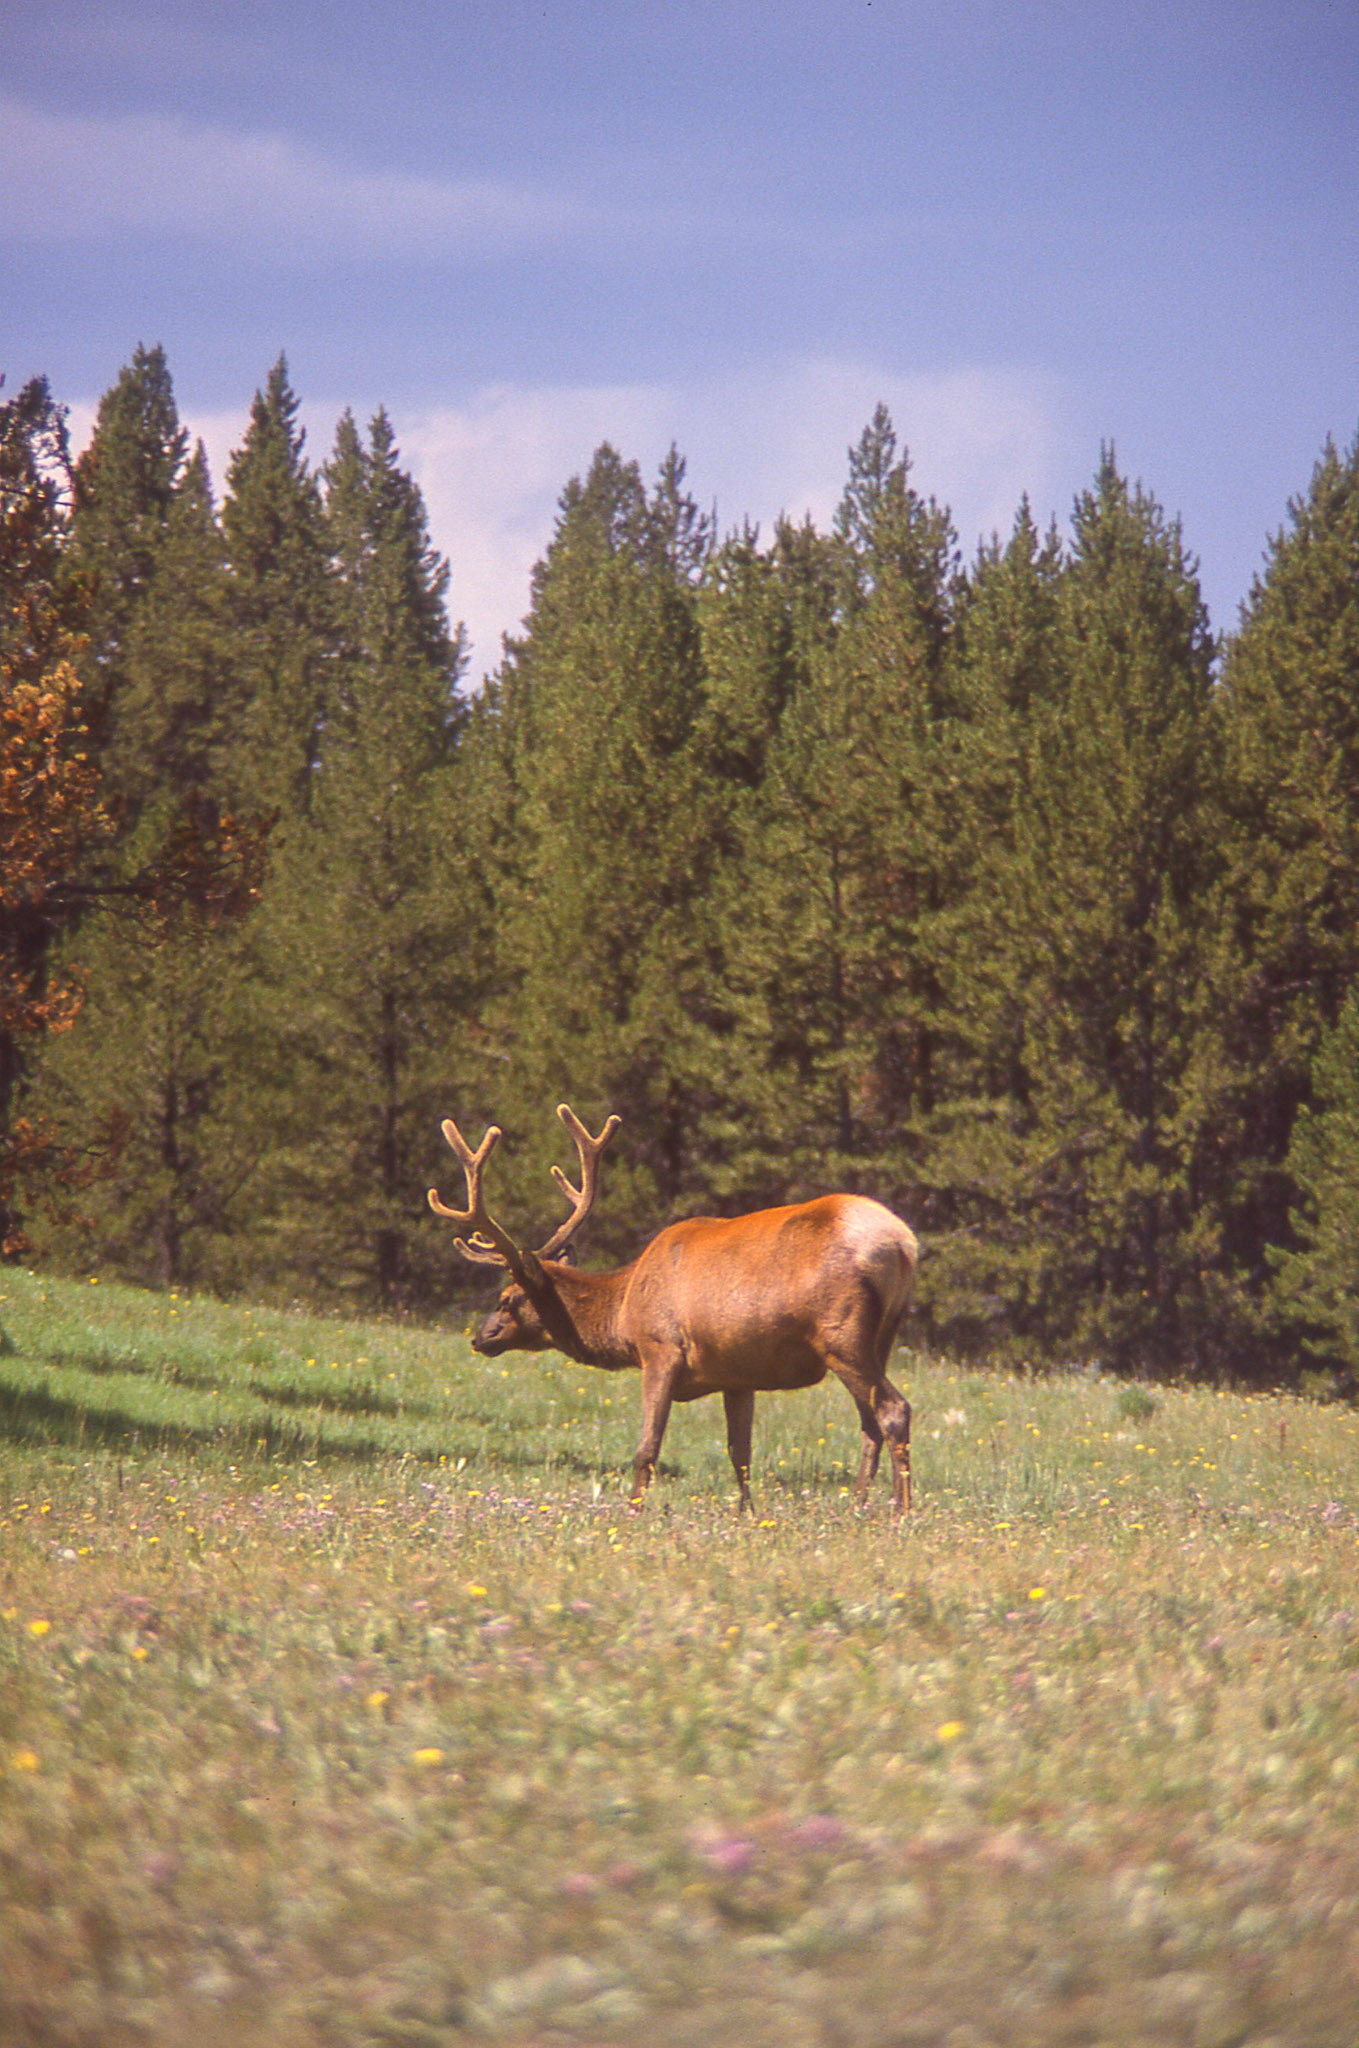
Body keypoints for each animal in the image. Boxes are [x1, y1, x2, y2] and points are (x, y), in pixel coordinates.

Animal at [428, 1104, 917, 1516]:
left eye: (508, 1298)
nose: (480, 1337)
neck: (623, 1312)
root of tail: (901, 1241)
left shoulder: (660, 1349)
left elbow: (647, 1448)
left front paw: (633, 1513)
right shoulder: (737, 1375)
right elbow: (740, 1452)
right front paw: (747, 1515)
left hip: (841, 1334)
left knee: (893, 1409)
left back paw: (899, 1511)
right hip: (881, 1335)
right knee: (869, 1422)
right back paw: (856, 1505)